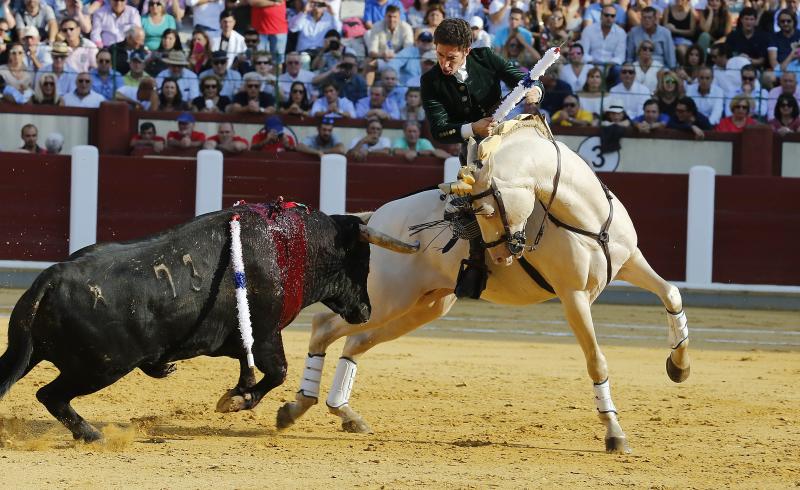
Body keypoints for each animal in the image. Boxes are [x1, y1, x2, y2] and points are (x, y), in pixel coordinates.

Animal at [0, 205, 390, 442]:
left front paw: (236, 393)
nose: (366, 311)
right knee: (50, 394)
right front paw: (236, 401)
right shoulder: (265, 334)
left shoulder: (241, 340)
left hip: (26, 353)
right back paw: (93, 435)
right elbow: (277, 371)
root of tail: (51, 278)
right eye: (362, 261)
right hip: (101, 368)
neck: (291, 246)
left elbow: (253, 368)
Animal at [266, 117, 692, 454]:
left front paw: (679, 367)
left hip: (424, 306)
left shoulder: (631, 261)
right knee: (324, 326)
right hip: (388, 298)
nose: (502, 257)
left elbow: (671, 293)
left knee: (356, 341)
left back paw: (343, 412)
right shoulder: (574, 297)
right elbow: (596, 359)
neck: (583, 215)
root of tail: (378, 218)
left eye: (483, 208)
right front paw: (614, 432)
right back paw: (297, 407)